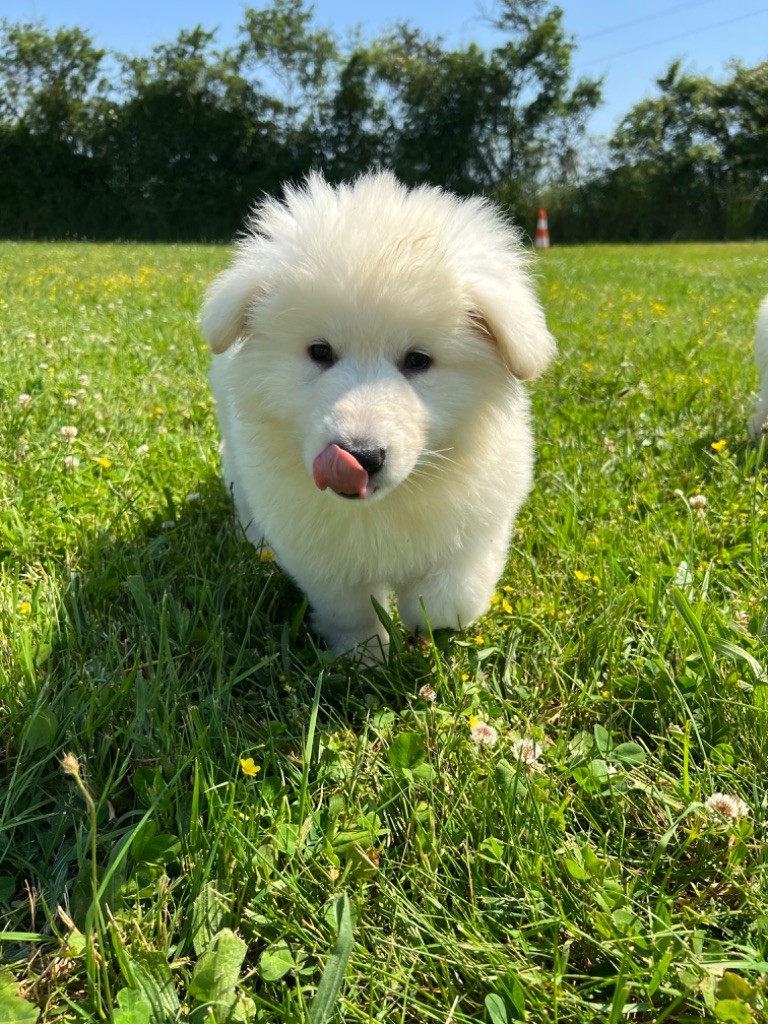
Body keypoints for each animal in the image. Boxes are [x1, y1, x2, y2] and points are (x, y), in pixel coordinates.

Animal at [201, 172, 557, 655]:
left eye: (418, 360)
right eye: (320, 352)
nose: (360, 456)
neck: (387, 503)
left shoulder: (483, 513)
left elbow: (454, 585)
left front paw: (427, 616)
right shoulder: (321, 552)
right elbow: (350, 609)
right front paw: (364, 656)